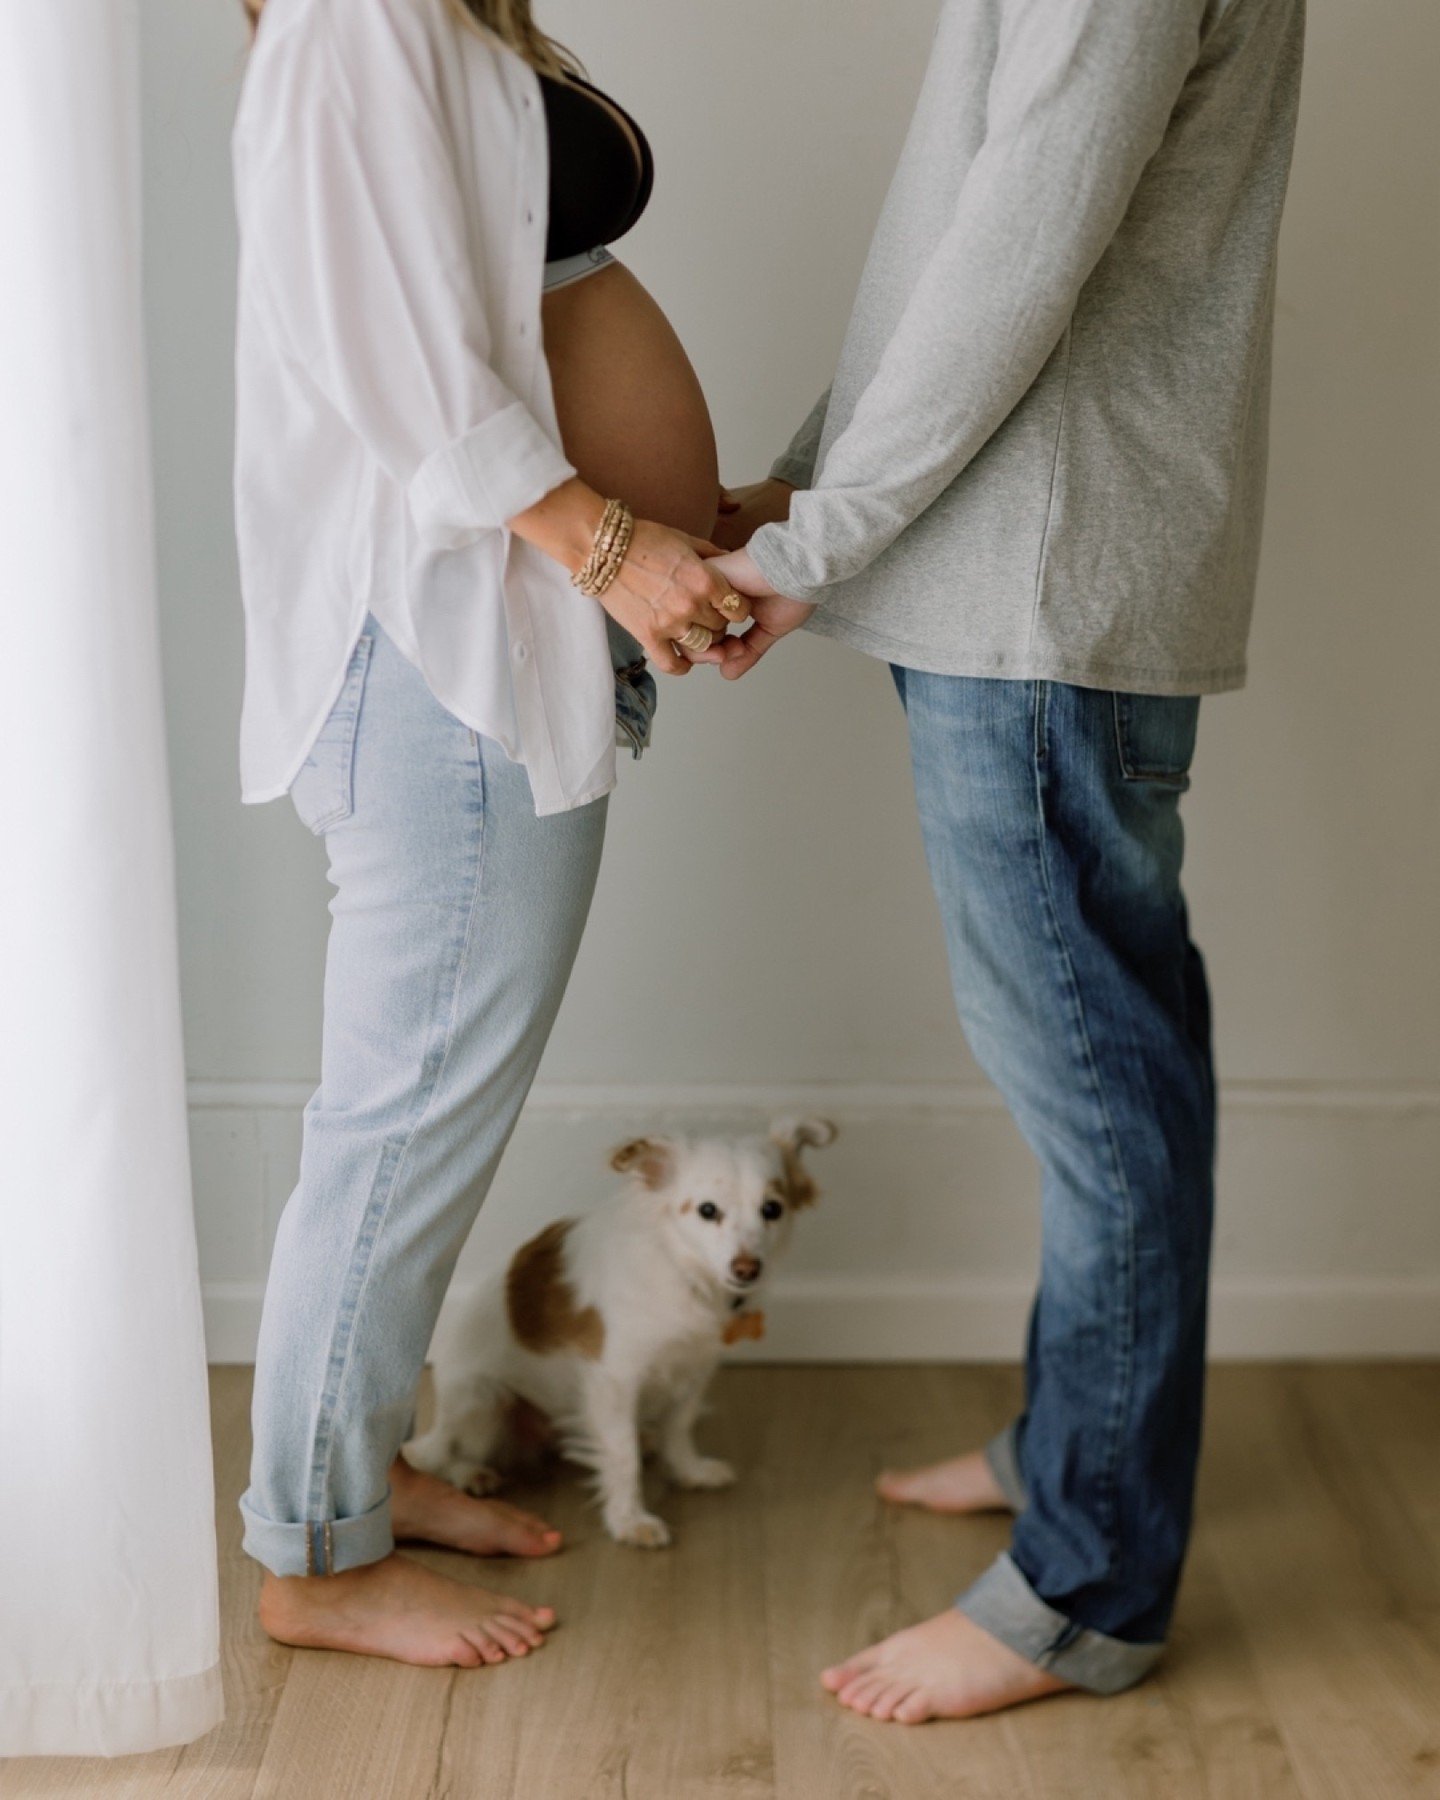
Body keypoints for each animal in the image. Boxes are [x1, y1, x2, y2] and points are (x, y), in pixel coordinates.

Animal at [401, 1116, 831, 1540]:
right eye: (707, 1210)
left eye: (772, 1209)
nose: (747, 1268)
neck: (686, 1277)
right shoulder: (615, 1380)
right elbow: (622, 1456)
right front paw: (629, 1521)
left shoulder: (694, 1369)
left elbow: (679, 1426)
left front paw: (688, 1470)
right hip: (482, 1402)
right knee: (445, 1455)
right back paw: (471, 1474)